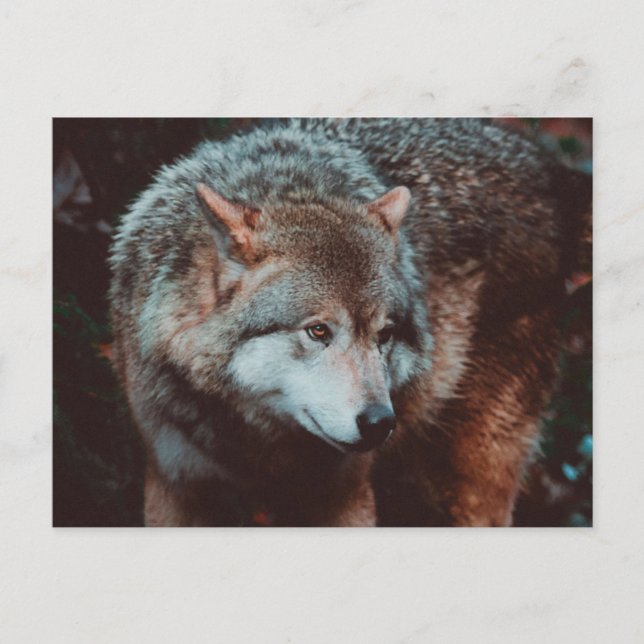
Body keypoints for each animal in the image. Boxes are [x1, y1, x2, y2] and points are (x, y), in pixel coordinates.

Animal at [109, 118, 591, 526]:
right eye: (318, 330)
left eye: (385, 334)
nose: (379, 423)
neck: (258, 448)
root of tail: (540, 163)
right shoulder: (175, 484)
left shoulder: (346, 493)